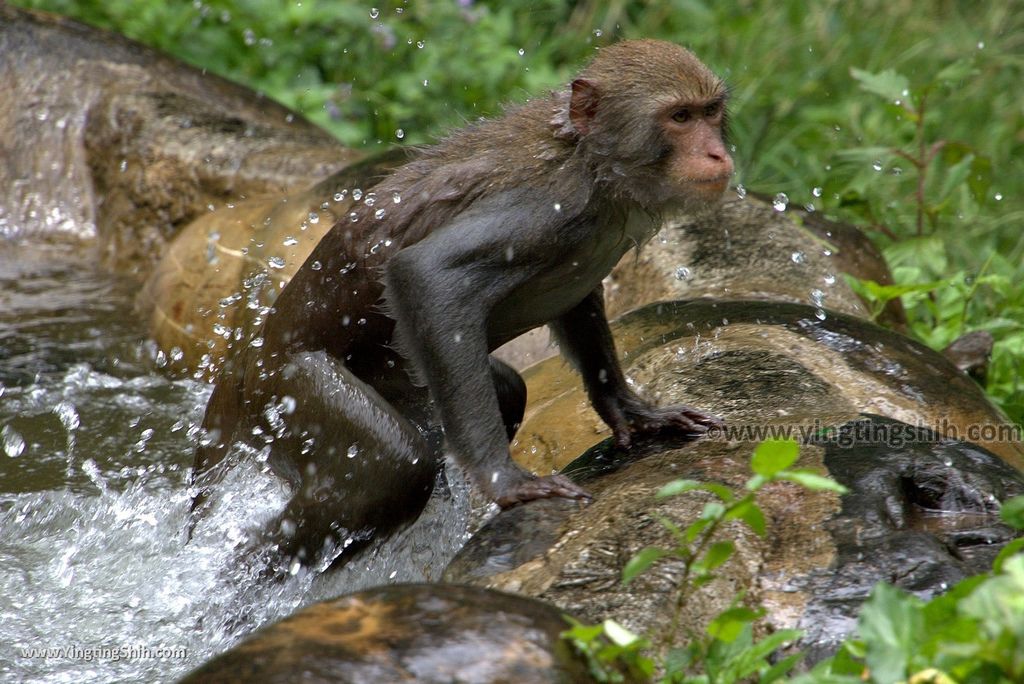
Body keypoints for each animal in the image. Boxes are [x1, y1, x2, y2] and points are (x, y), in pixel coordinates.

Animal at [192, 40, 733, 569]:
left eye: (709, 112)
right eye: (679, 117)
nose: (717, 153)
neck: (594, 161)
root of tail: (246, 356)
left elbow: (579, 302)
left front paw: (631, 409)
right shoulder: (545, 205)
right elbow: (427, 275)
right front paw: (504, 480)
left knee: (505, 392)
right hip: (281, 391)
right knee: (397, 464)